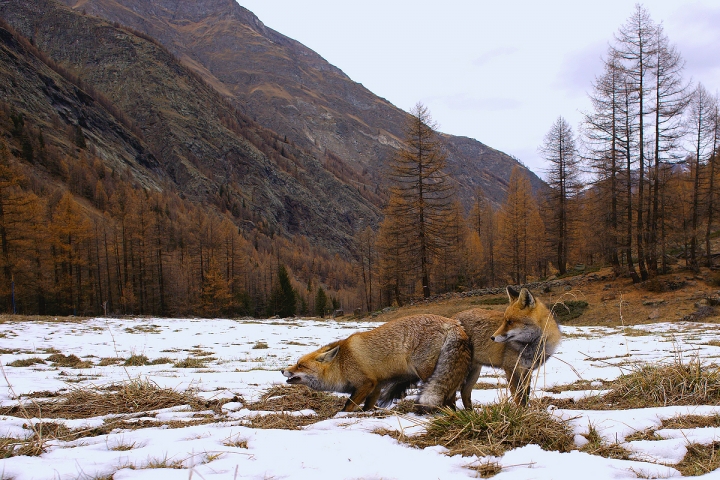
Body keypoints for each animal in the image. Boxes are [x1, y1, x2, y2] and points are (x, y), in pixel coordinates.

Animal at [282, 316, 472, 412]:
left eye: (300, 365)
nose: (283, 370)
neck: (342, 364)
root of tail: (453, 323)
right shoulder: (377, 386)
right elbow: (368, 406)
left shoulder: (366, 383)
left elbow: (348, 406)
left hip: (426, 372)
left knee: (449, 395)